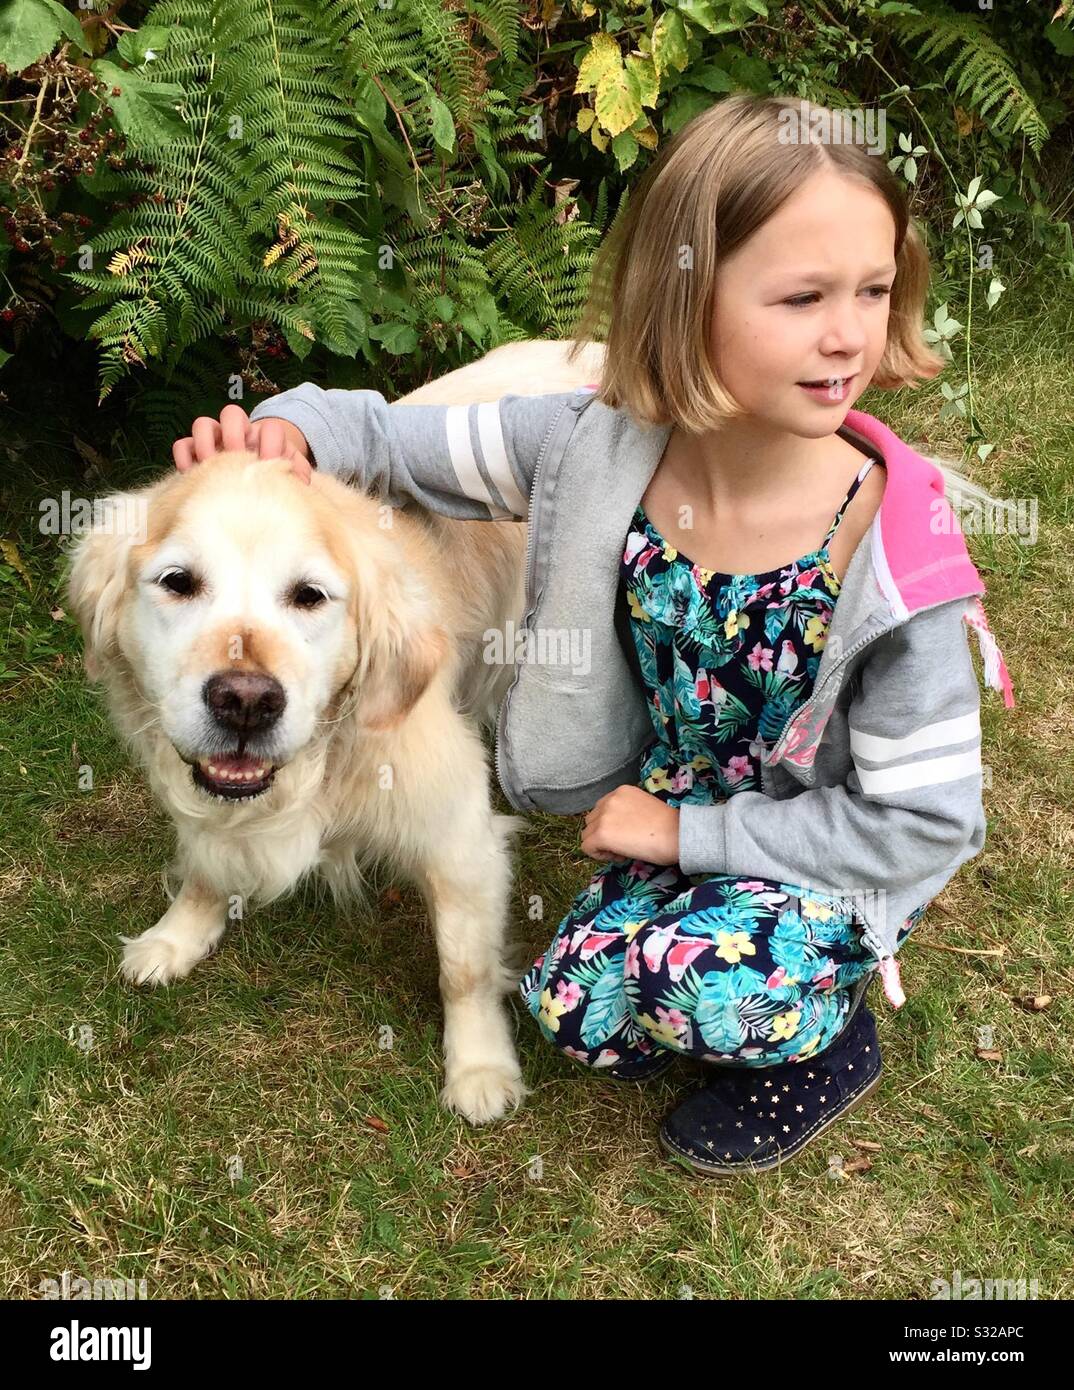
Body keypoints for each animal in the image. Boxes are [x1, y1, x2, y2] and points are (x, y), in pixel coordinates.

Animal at [64, 339, 602, 1128]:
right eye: (178, 581)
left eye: (309, 596)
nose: (246, 702)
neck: (323, 760)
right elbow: (204, 863)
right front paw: (176, 935)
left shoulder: (457, 836)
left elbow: (463, 968)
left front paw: (479, 1067)